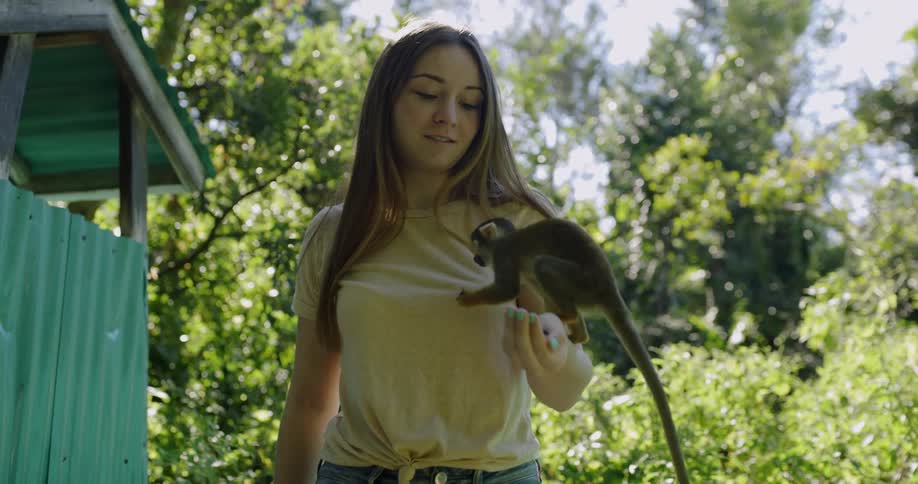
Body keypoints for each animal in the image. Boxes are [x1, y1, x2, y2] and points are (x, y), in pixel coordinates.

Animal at [456, 217, 690, 484]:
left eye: (476, 245)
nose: (476, 259)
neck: (502, 241)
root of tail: (609, 289)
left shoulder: (504, 254)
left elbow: (508, 290)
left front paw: (469, 299)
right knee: (538, 274)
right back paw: (577, 330)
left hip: (584, 284)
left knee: (542, 265)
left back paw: (567, 315)